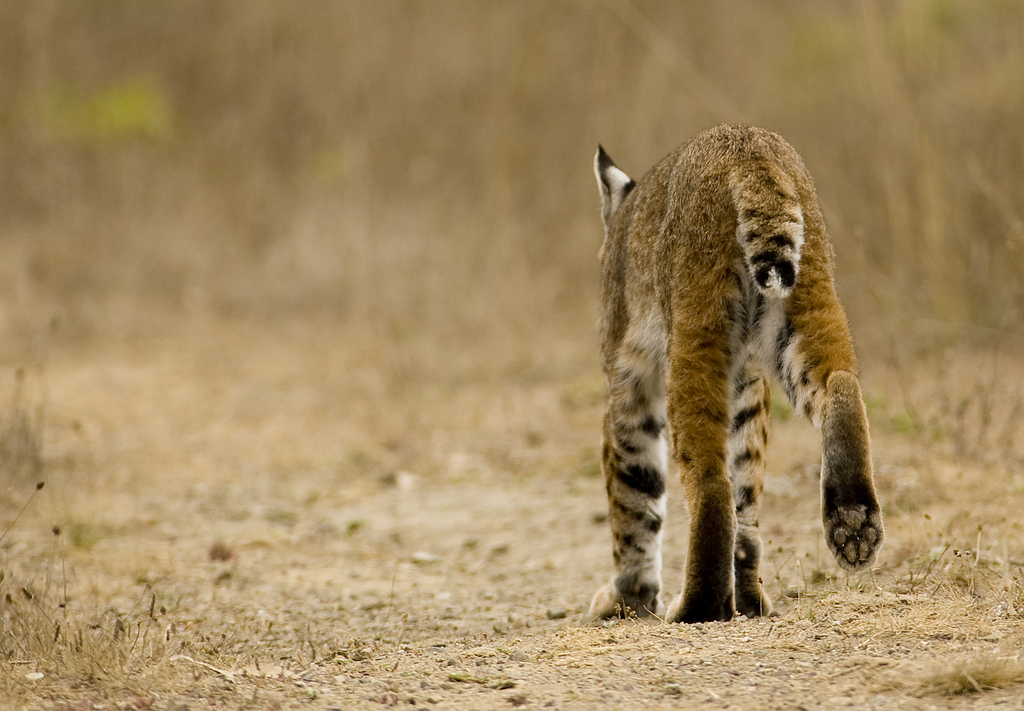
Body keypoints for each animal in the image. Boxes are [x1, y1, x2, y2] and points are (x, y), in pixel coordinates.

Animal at [589, 124, 883, 623]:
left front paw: (628, 598)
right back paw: (853, 519)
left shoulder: (627, 385)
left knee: (709, 481)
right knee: (840, 385)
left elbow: (631, 490)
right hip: (807, 303)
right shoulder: (748, 379)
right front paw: (746, 598)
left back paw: (697, 606)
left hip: (695, 329)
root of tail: (747, 144)